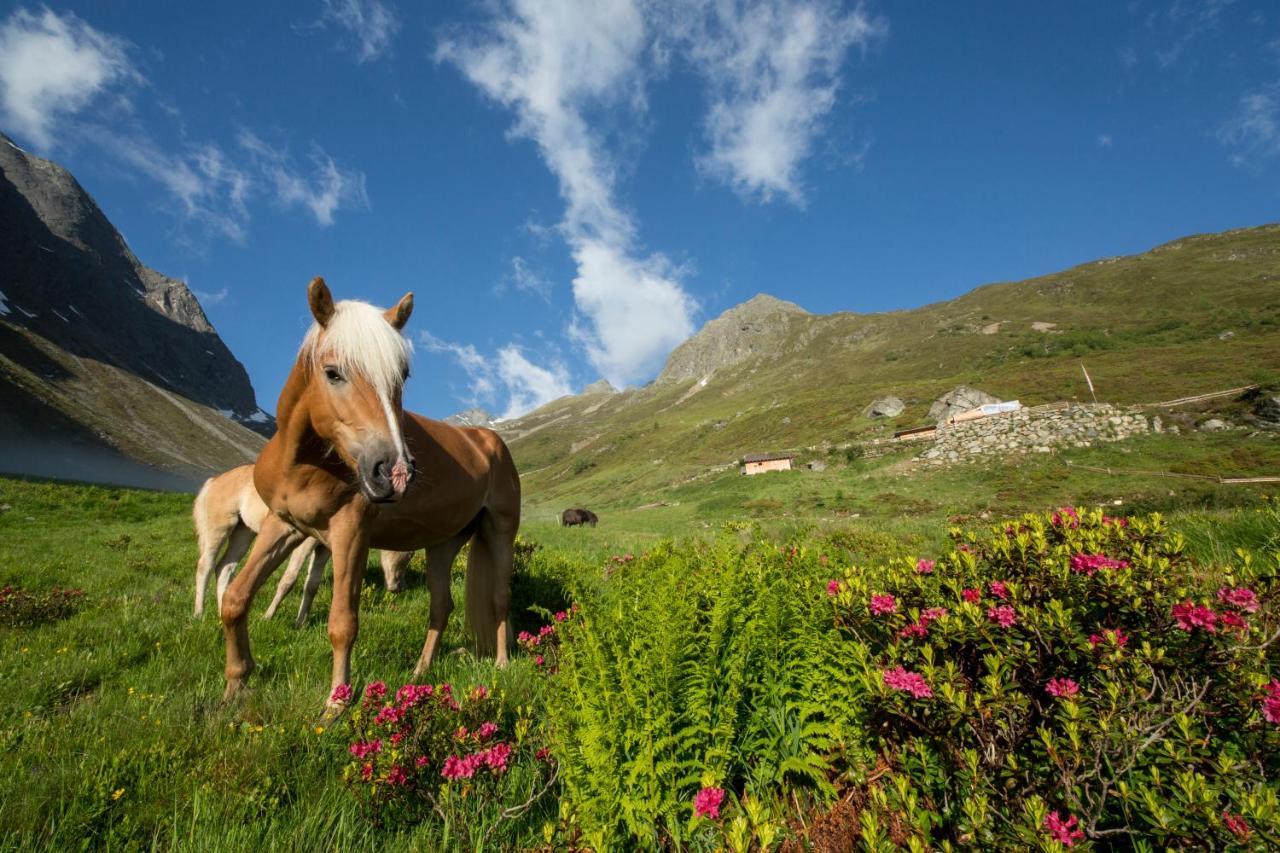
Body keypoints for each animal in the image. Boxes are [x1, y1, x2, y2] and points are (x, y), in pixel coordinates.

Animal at [192, 466, 409, 625]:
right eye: (404, 555)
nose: (397, 587)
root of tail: (214, 481)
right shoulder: (303, 545)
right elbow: (289, 580)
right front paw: (268, 616)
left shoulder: (324, 550)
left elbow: (312, 585)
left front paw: (300, 623)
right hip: (219, 529)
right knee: (206, 566)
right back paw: (198, 614)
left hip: (243, 532)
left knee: (225, 567)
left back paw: (222, 613)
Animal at [220, 275, 519, 706]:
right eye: (332, 373)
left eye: (402, 376)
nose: (394, 472)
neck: (305, 464)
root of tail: (490, 440)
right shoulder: (284, 527)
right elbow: (235, 598)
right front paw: (236, 683)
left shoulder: (350, 533)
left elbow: (343, 623)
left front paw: (337, 703)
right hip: (442, 544)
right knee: (441, 606)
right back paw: (421, 670)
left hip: (500, 532)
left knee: (498, 598)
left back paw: (501, 664)